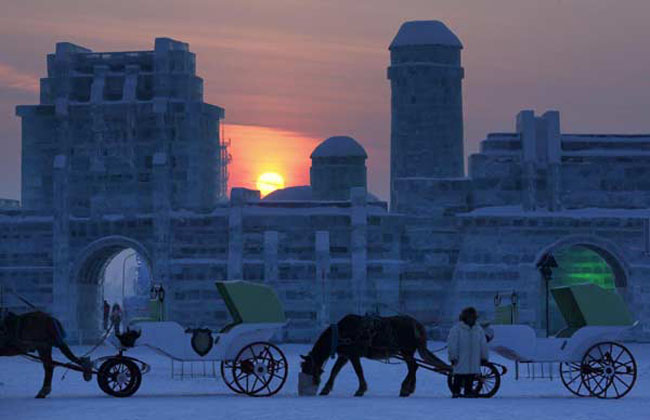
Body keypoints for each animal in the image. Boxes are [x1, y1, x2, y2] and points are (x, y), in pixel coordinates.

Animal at [298, 316, 446, 398]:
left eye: (307, 368)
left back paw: (405, 389)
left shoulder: (353, 355)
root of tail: (416, 324)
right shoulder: (345, 356)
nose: (312, 383)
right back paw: (409, 388)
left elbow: (359, 371)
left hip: (406, 351)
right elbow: (335, 371)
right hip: (407, 352)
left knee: (413, 366)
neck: (340, 334)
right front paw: (326, 389)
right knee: (414, 367)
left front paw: (360, 390)